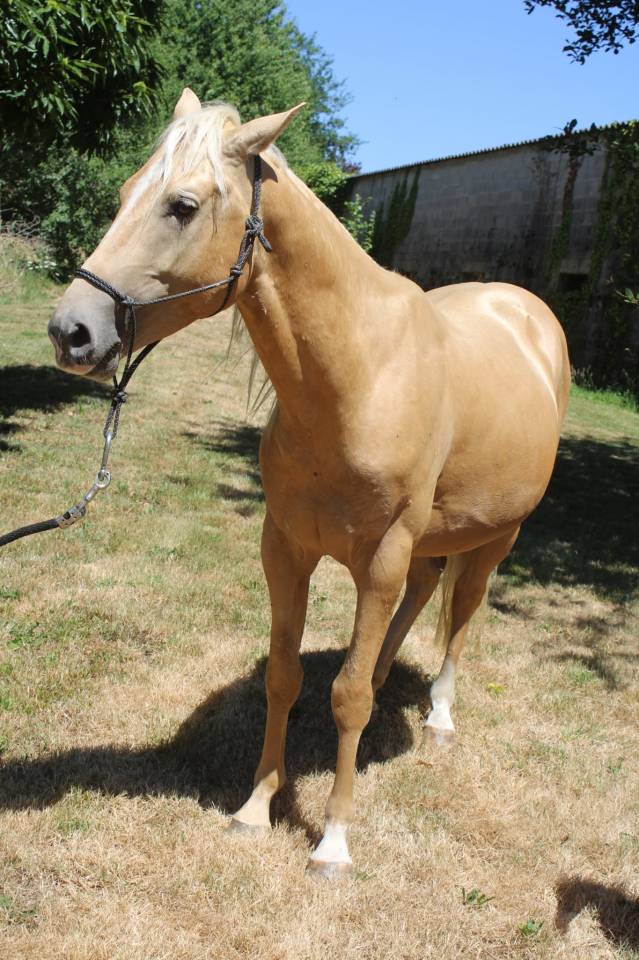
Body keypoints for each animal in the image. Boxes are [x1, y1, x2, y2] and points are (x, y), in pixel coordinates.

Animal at [48, 89, 570, 878]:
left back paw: (441, 714)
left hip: (497, 536)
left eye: (182, 205)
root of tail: (528, 311)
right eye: (124, 193)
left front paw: (332, 841)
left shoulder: (380, 555)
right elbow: (286, 677)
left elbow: (347, 699)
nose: (71, 331)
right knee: (421, 597)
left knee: (462, 611)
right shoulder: (286, 547)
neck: (359, 376)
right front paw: (257, 807)